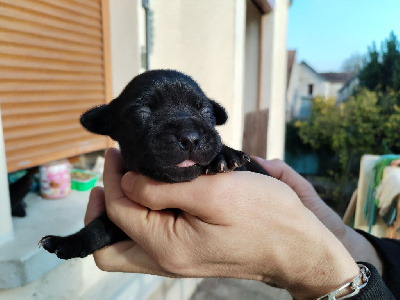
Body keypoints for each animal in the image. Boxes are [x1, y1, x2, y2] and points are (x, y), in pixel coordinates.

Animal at [39, 69, 268, 258]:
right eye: (141, 113)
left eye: (206, 112)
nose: (190, 137)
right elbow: (101, 227)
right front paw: (70, 241)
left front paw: (224, 155)